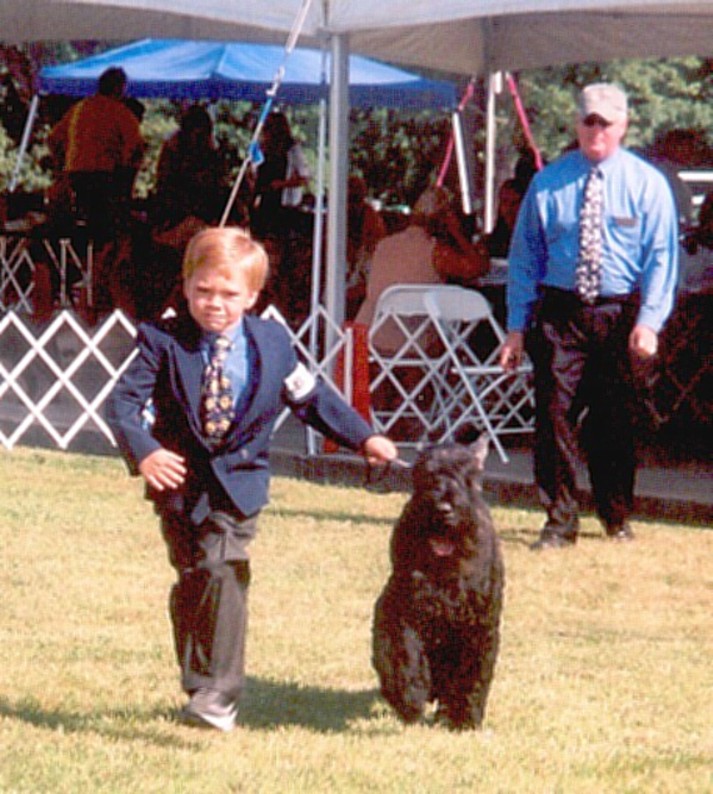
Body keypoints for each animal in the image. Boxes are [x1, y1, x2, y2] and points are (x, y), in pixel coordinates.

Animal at [372, 436, 500, 728]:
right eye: (425, 474)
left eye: (468, 476)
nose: (443, 509)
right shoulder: (399, 612)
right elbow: (401, 652)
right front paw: (408, 696)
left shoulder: (478, 626)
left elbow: (471, 675)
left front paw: (464, 718)